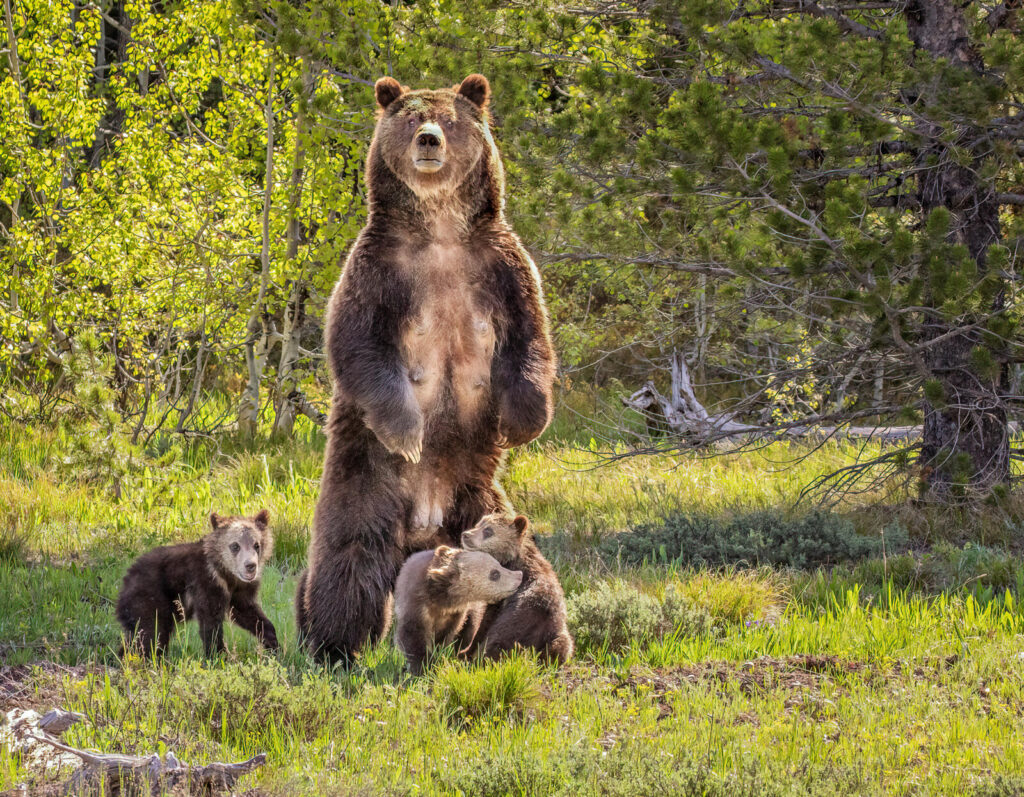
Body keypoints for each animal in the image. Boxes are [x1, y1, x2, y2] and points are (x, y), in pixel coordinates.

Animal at [117, 510, 278, 658]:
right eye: (235, 546)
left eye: (256, 545)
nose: (250, 566)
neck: (225, 574)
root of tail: (125, 582)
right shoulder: (205, 583)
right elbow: (210, 622)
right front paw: (220, 655)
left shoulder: (239, 590)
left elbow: (249, 613)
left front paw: (273, 646)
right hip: (149, 599)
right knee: (152, 633)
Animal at [392, 545, 523, 675]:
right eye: (495, 573)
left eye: (499, 564)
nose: (519, 575)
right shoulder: (416, 607)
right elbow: (412, 637)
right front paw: (424, 666)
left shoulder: (457, 614)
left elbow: (449, 634)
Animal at [460, 513, 573, 664]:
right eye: (478, 524)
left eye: (488, 530)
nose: (466, 535)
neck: (509, 560)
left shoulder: (503, 593)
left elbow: (486, 620)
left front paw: (465, 650)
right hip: (556, 634)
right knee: (562, 646)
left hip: (515, 624)